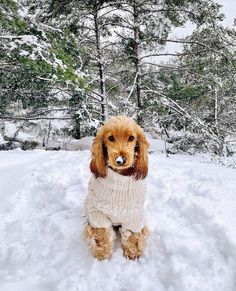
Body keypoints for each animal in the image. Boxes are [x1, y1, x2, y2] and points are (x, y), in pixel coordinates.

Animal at [84, 115, 148, 262]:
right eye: (111, 138)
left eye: (131, 138)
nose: (120, 160)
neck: (120, 179)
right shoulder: (98, 214)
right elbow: (101, 234)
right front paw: (103, 254)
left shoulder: (134, 216)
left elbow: (132, 235)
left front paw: (132, 253)